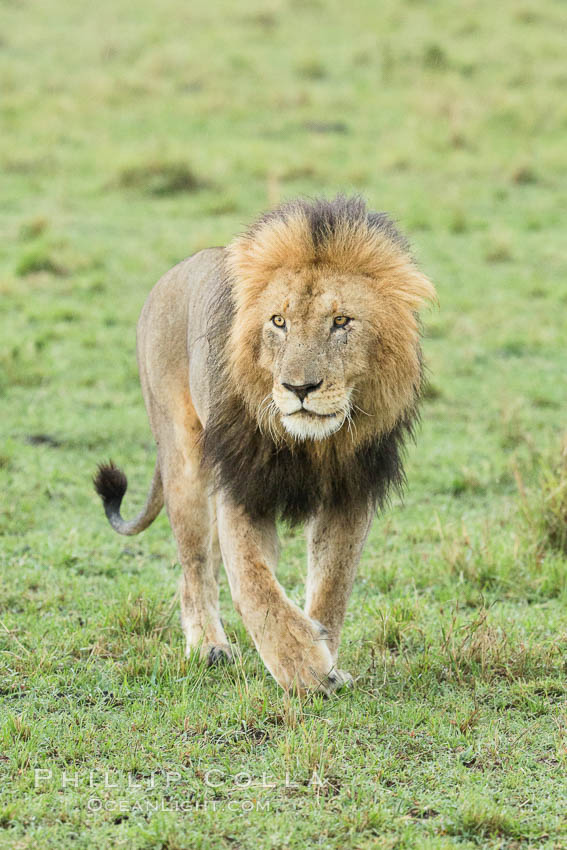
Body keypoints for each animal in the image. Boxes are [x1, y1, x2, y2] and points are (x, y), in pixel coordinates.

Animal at [95, 195, 438, 692]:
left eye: (340, 322)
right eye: (279, 321)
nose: (300, 388)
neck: (311, 445)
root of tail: (172, 274)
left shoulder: (350, 492)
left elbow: (332, 585)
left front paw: (325, 658)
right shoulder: (241, 485)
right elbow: (254, 585)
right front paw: (303, 667)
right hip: (184, 461)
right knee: (195, 563)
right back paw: (209, 646)